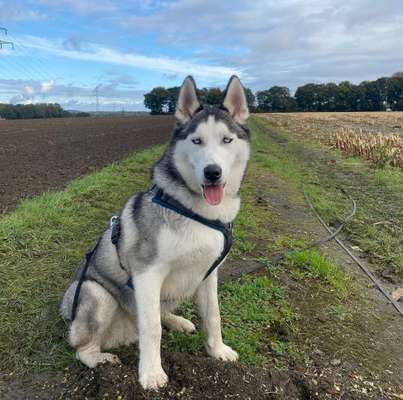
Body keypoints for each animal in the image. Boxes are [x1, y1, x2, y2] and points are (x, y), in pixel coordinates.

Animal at [59, 74, 251, 388]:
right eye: (196, 141)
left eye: (227, 140)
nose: (213, 172)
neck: (197, 212)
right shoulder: (148, 273)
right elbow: (151, 329)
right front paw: (150, 373)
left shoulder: (208, 274)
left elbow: (213, 316)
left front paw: (218, 351)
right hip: (94, 293)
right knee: (83, 347)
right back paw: (101, 359)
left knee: (163, 313)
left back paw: (179, 321)